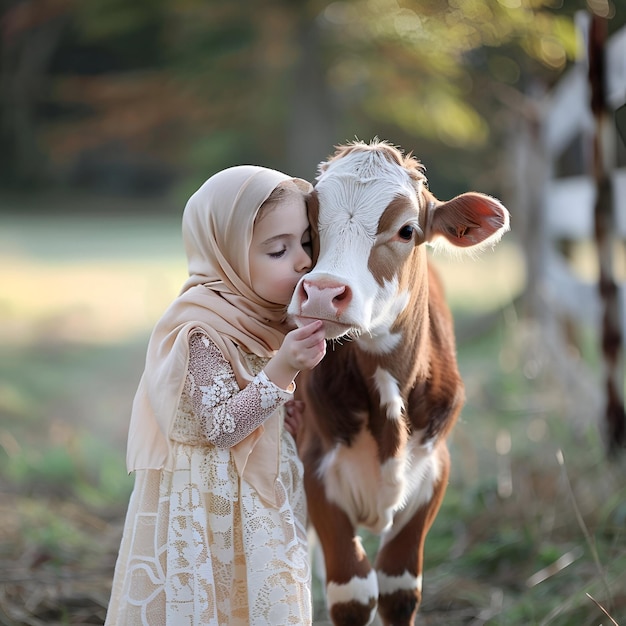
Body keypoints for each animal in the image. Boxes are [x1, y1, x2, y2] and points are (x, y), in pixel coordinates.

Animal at [286, 141, 508, 624]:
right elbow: (351, 592)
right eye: (309, 225)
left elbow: (398, 588)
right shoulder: (315, 468)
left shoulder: (434, 470)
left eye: (406, 230)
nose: (323, 292)